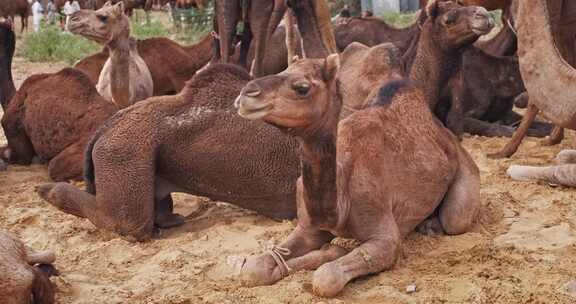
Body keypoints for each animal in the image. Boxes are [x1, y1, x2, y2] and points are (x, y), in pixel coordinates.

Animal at [234, 46, 482, 300]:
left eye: (302, 87)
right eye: (282, 69)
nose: (246, 94)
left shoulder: (385, 238)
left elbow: (327, 277)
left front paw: (332, 253)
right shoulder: (308, 227)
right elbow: (254, 269)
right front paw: (330, 250)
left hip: (464, 170)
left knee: (455, 218)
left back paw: (431, 226)